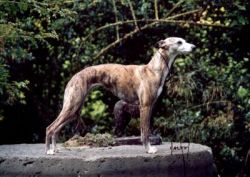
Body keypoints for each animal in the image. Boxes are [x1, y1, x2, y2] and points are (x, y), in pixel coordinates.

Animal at [45, 37, 195, 155]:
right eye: (179, 42)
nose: (194, 47)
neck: (153, 70)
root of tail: (74, 77)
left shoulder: (148, 107)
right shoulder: (145, 106)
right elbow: (145, 132)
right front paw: (148, 149)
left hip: (74, 108)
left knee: (56, 129)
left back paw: (55, 149)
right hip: (72, 106)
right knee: (50, 127)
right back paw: (49, 151)